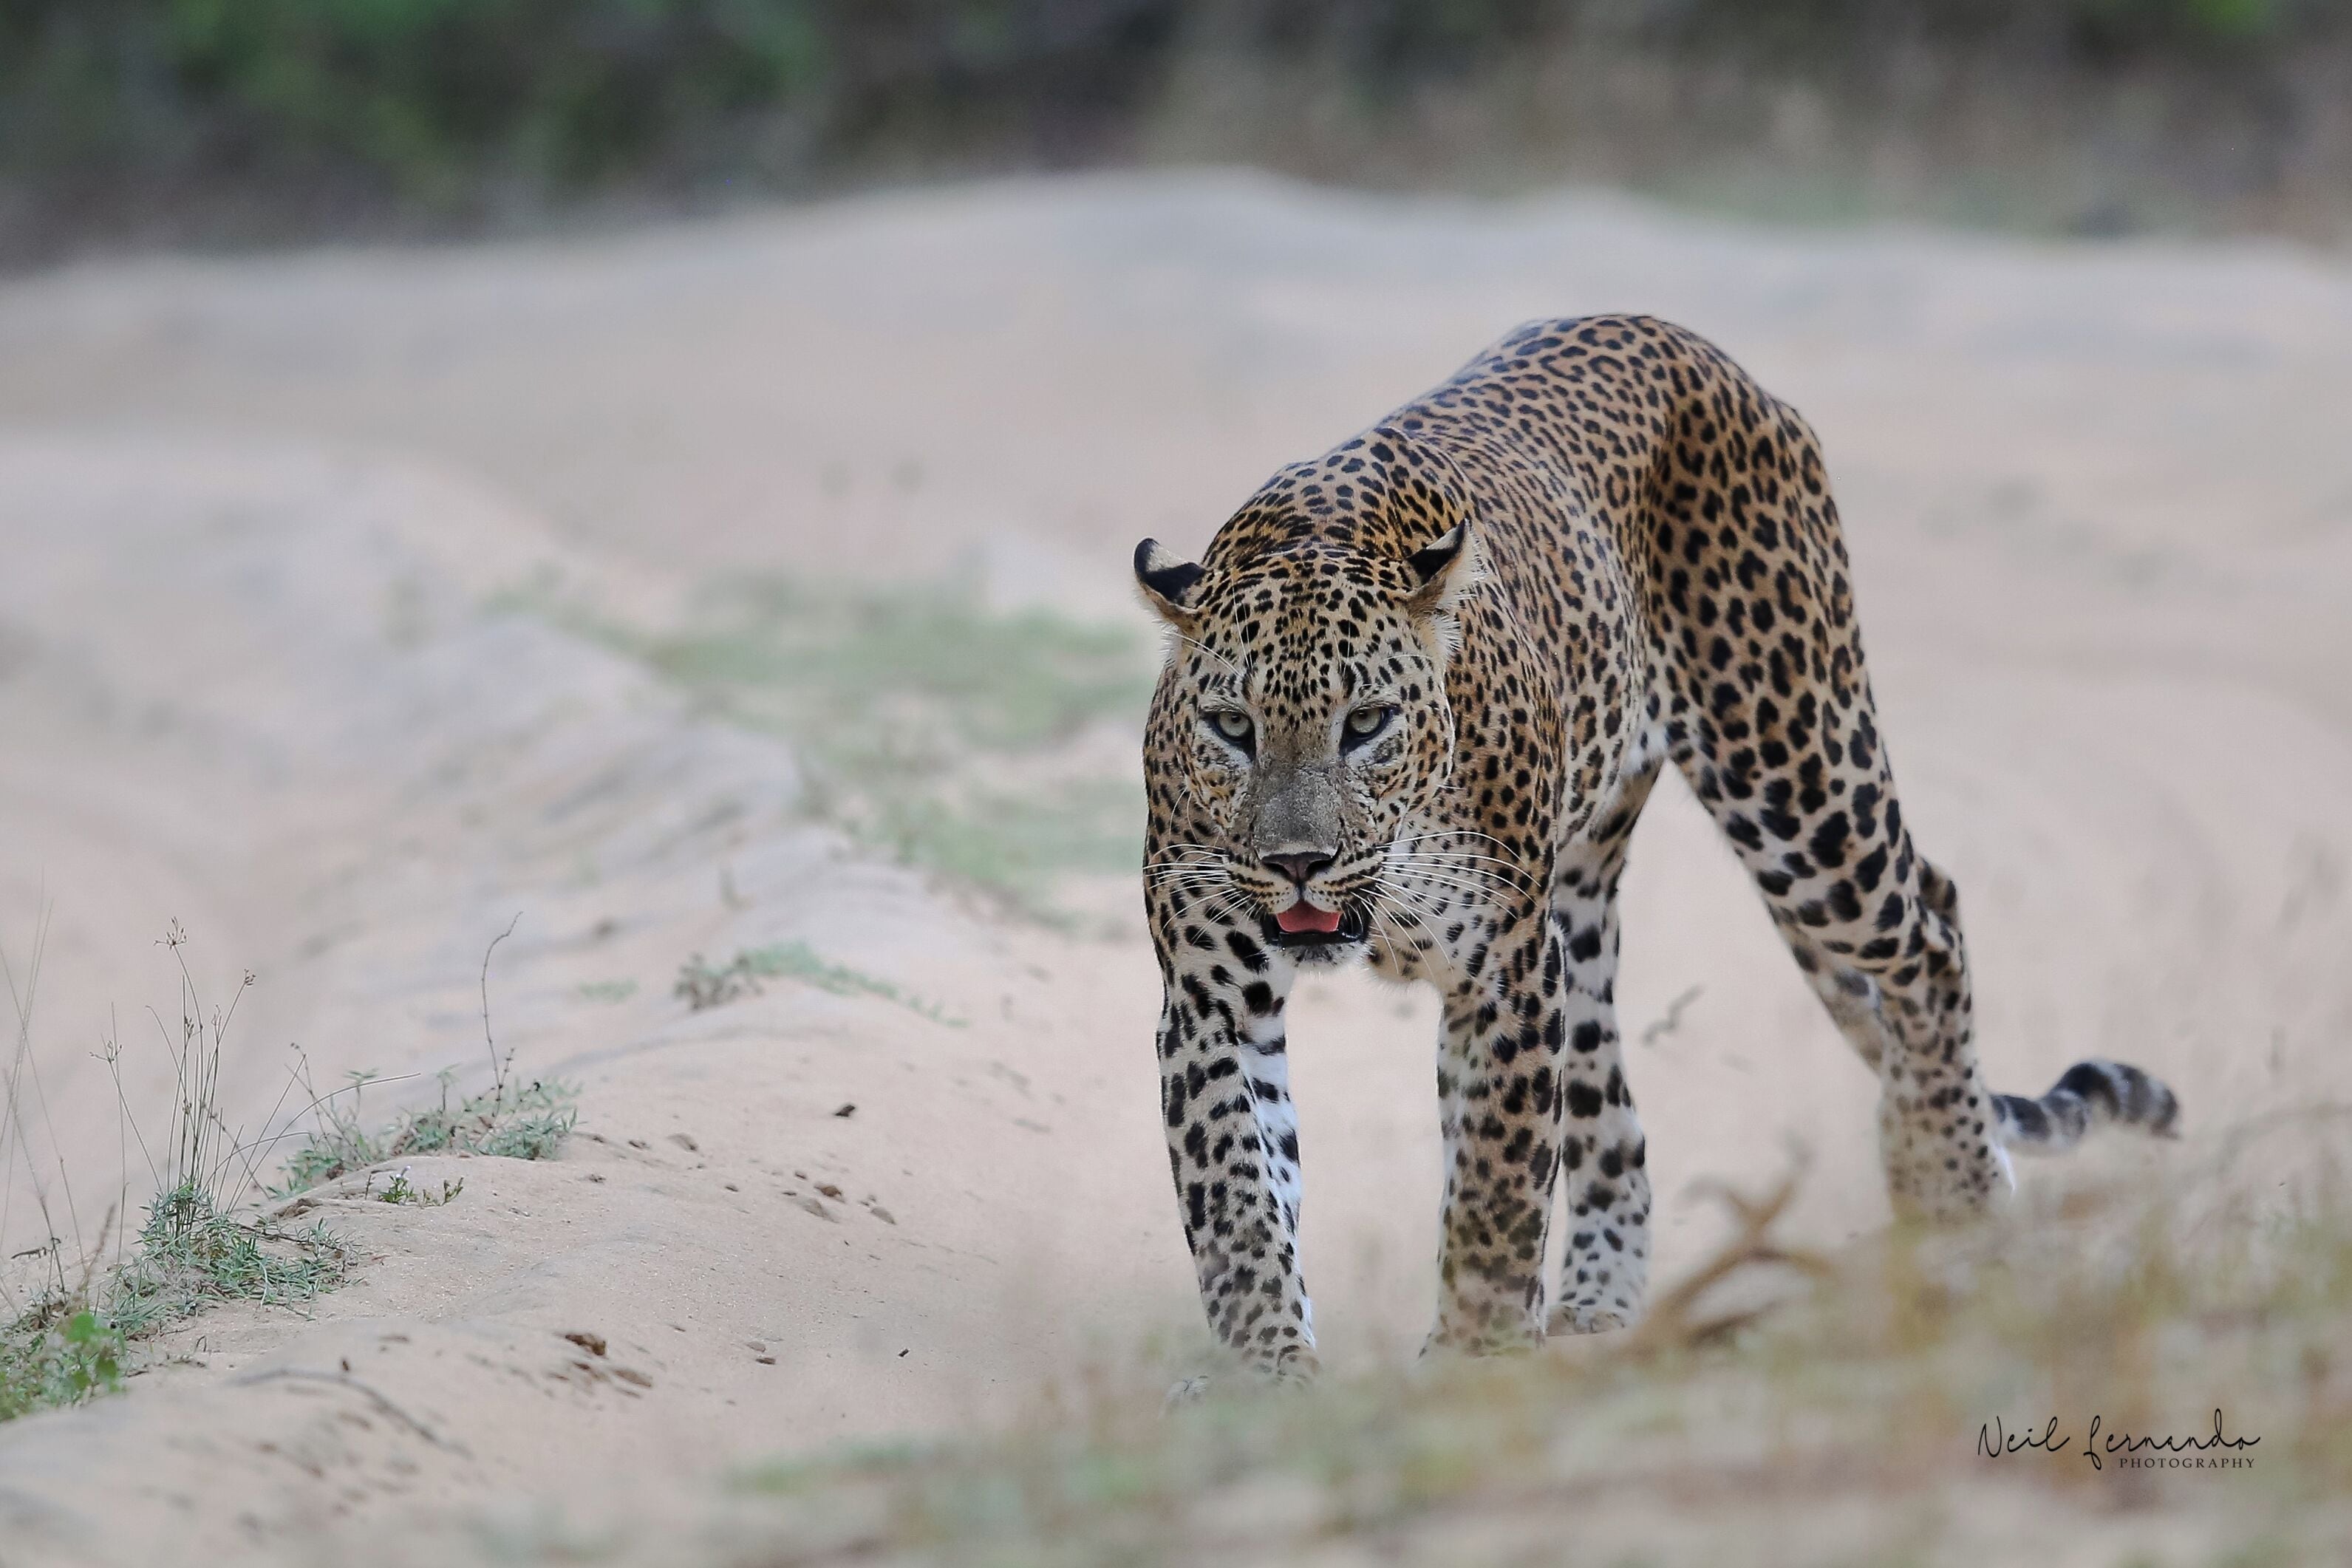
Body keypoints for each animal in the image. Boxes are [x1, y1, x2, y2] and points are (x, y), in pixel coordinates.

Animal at [1134, 313, 2180, 1384]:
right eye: (1230, 726)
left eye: (1367, 722)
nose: (1296, 861)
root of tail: (1688, 343)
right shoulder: (1212, 993)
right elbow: (1236, 1190)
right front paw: (1263, 1370)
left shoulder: (1504, 972)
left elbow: (1495, 1183)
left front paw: (1472, 1356)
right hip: (1584, 910)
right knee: (1614, 1108)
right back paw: (1604, 1293)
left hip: (1797, 774)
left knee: (1930, 921)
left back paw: (1952, 1192)